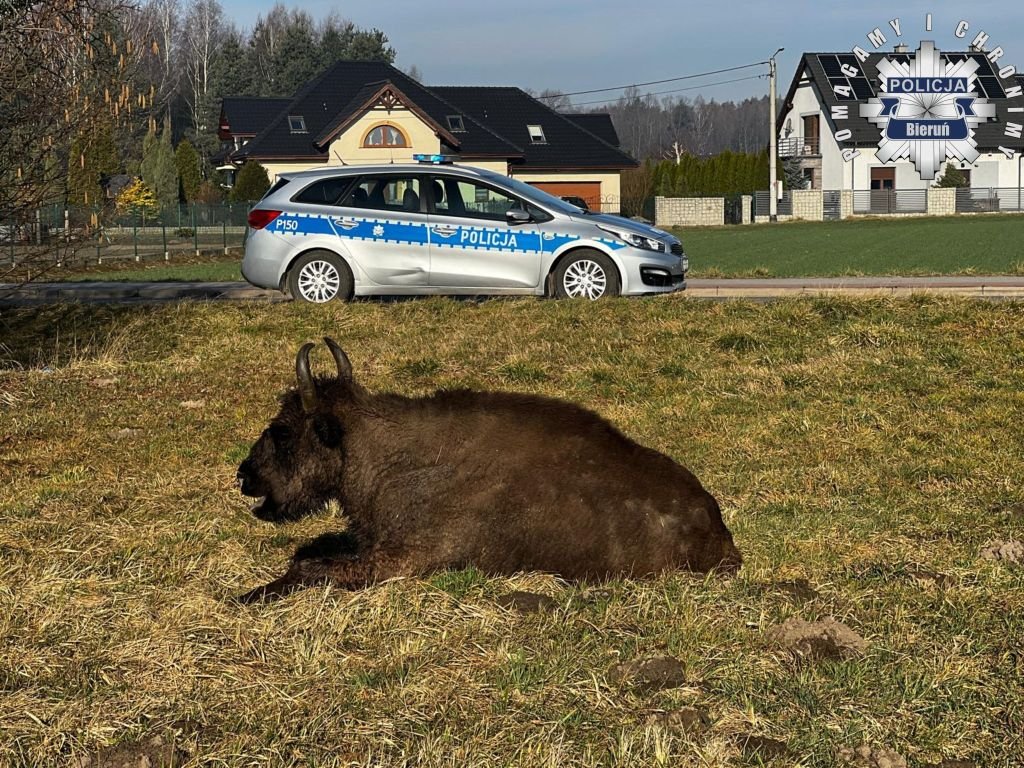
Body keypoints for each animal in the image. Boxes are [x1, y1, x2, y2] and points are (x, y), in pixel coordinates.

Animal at [235, 339, 741, 606]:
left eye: (282, 431)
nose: (244, 474)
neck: (375, 451)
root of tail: (716, 527)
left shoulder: (400, 562)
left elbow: (309, 568)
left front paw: (247, 594)